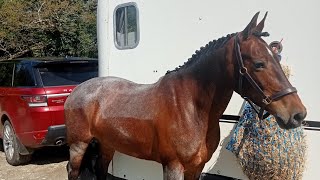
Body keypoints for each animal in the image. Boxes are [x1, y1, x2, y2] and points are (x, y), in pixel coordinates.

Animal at [63, 11, 306, 179]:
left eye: (277, 59)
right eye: (259, 64)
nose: (298, 114)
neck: (191, 107)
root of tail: (77, 90)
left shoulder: (196, 167)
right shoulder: (174, 167)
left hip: (107, 144)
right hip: (78, 145)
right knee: (72, 171)